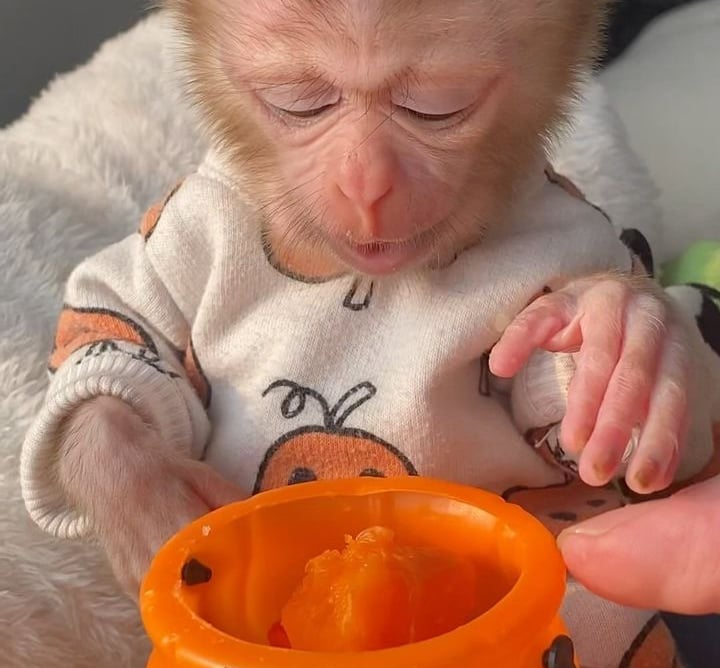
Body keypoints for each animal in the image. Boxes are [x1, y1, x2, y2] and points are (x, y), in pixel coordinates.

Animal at [20, 2, 720, 666]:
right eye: (299, 103)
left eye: (436, 109)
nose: (365, 184)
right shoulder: (185, 216)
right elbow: (123, 329)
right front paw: (148, 497)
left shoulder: (579, 234)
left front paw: (623, 339)